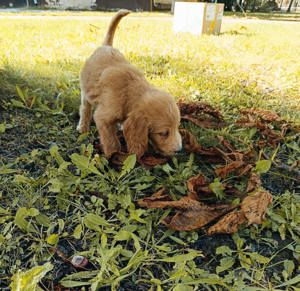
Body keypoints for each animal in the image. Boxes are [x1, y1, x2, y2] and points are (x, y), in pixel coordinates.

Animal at [76, 10, 182, 160]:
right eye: (163, 133)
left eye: (177, 127)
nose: (179, 150)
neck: (130, 92)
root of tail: (106, 46)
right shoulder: (103, 117)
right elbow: (110, 138)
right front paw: (113, 153)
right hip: (86, 92)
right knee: (85, 109)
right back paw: (83, 127)